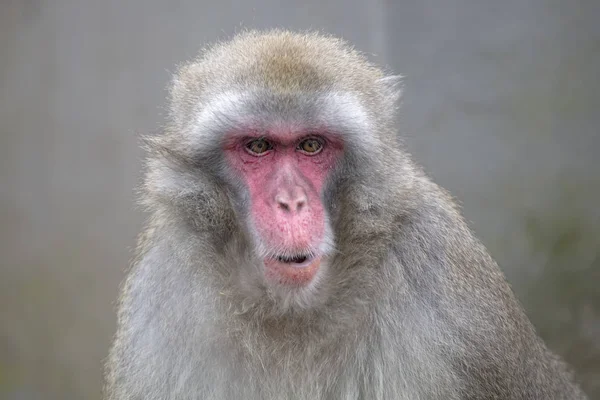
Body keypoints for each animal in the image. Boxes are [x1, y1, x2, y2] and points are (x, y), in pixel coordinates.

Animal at [103, 29, 584, 398]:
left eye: (311, 145)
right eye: (258, 146)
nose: (291, 202)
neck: (292, 310)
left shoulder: (450, 285)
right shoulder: (162, 287)